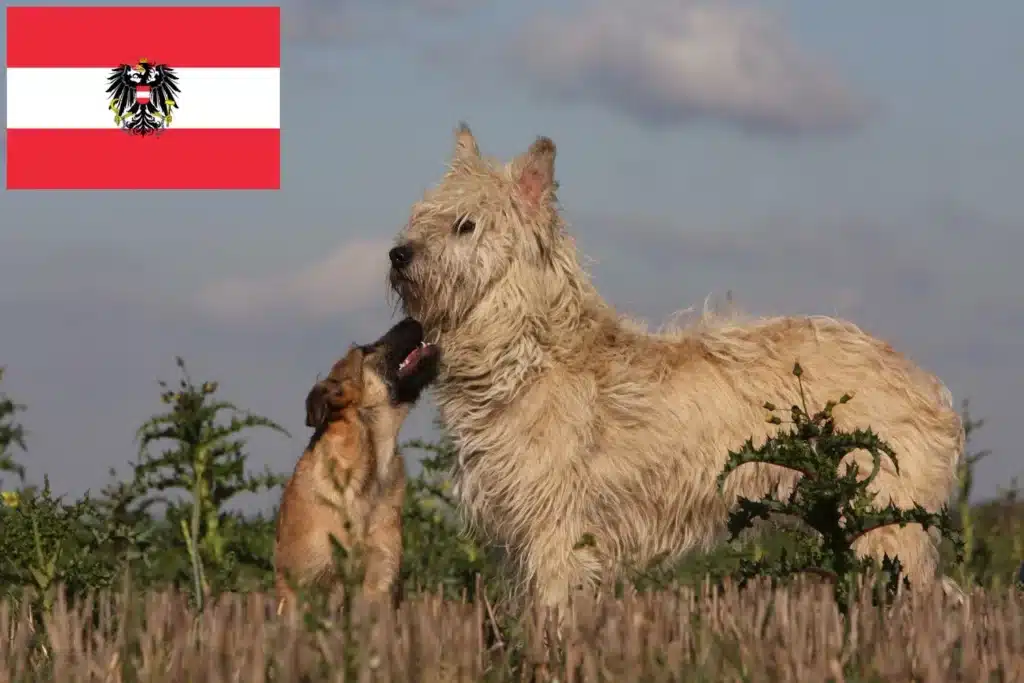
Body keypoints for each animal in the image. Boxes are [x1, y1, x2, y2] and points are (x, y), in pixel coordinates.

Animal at [387, 125, 962, 610]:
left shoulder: (558, 534)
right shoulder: (519, 538)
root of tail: (930, 386)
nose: (397, 255)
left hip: (884, 524)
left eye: (466, 225)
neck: (524, 353)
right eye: (420, 217)